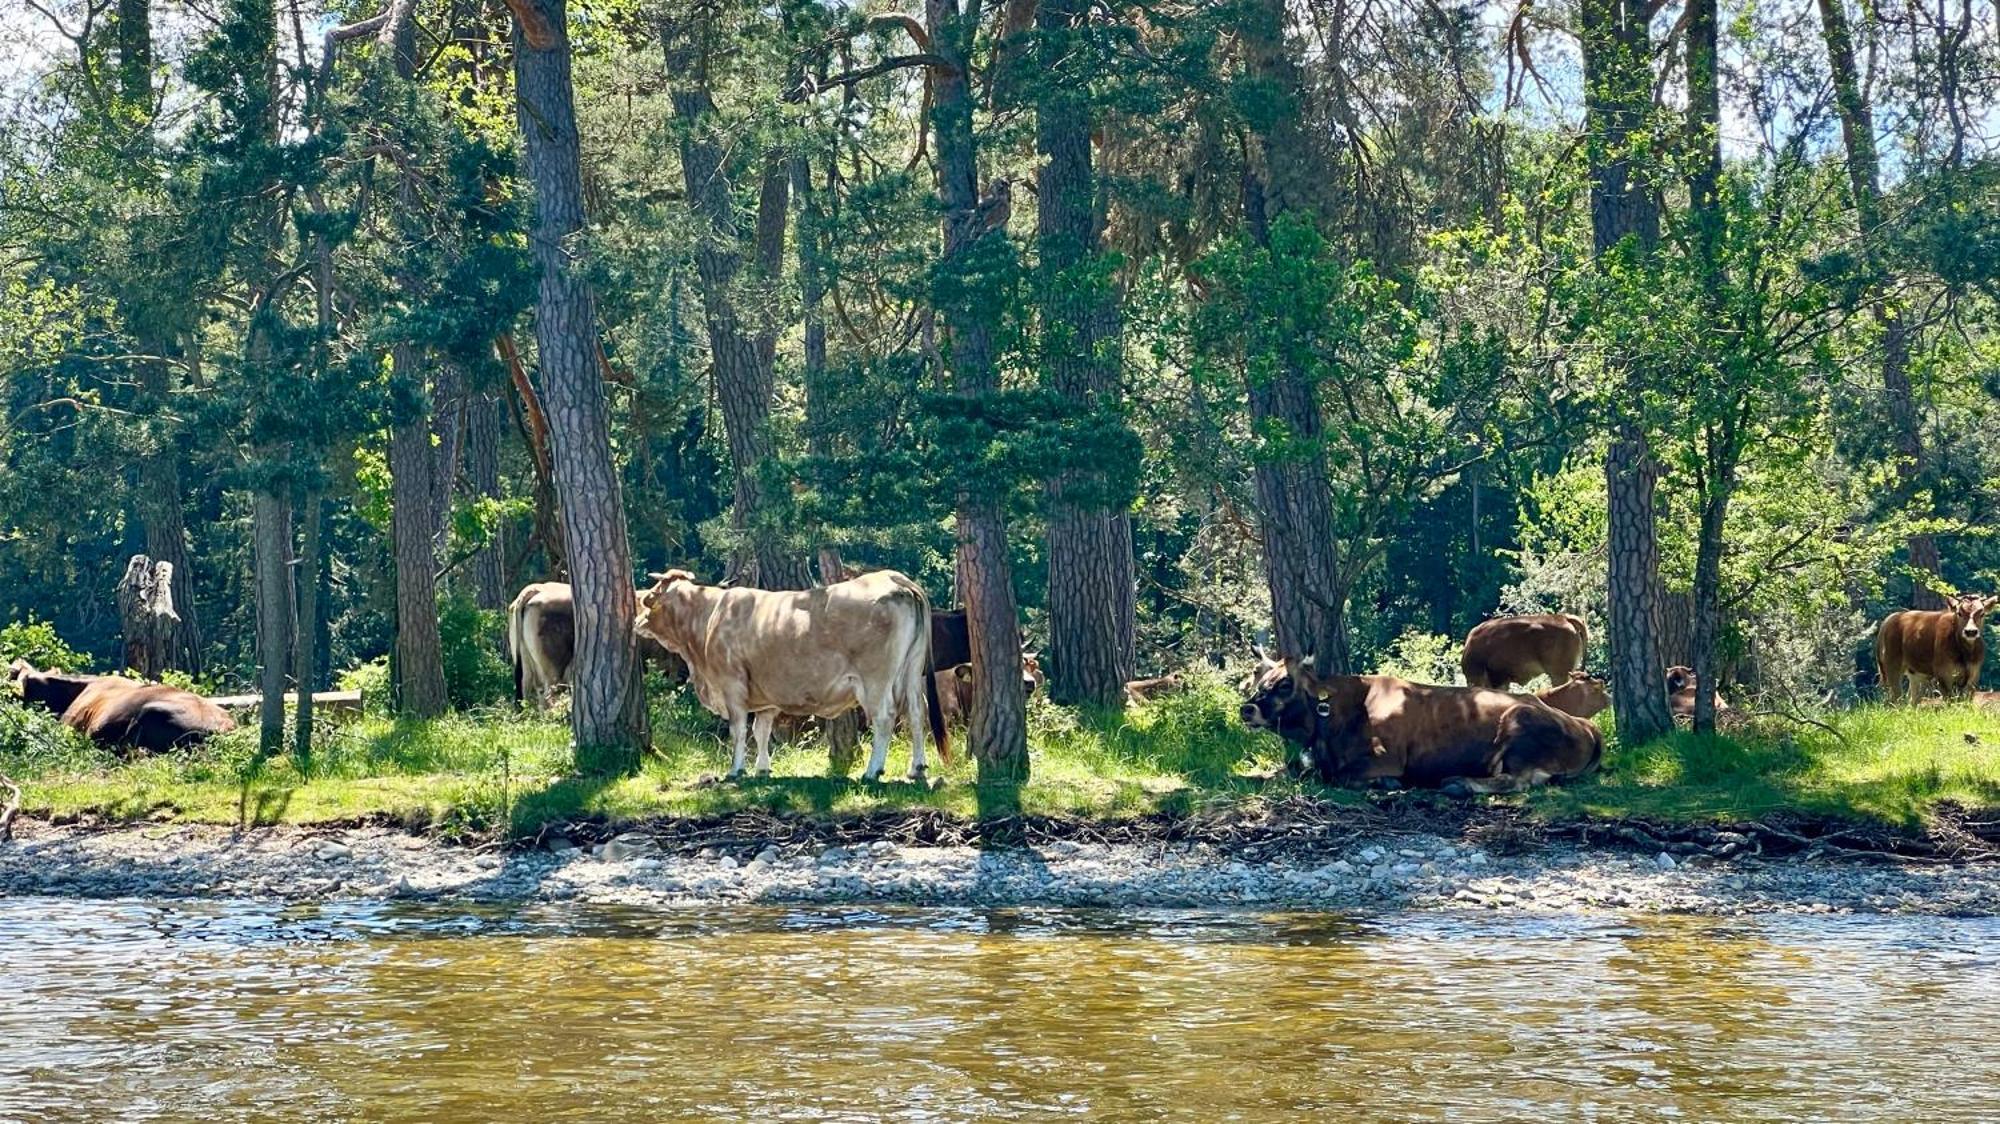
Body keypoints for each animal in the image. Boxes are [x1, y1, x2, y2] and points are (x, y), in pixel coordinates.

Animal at [640, 568, 952, 780]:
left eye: (652, 594)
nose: (636, 620)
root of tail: (893, 577)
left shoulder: (732, 686)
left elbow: (739, 730)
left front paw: (736, 770)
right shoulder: (764, 694)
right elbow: (761, 730)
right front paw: (762, 769)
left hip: (875, 680)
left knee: (885, 717)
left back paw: (873, 771)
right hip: (912, 671)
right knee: (916, 712)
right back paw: (916, 768)